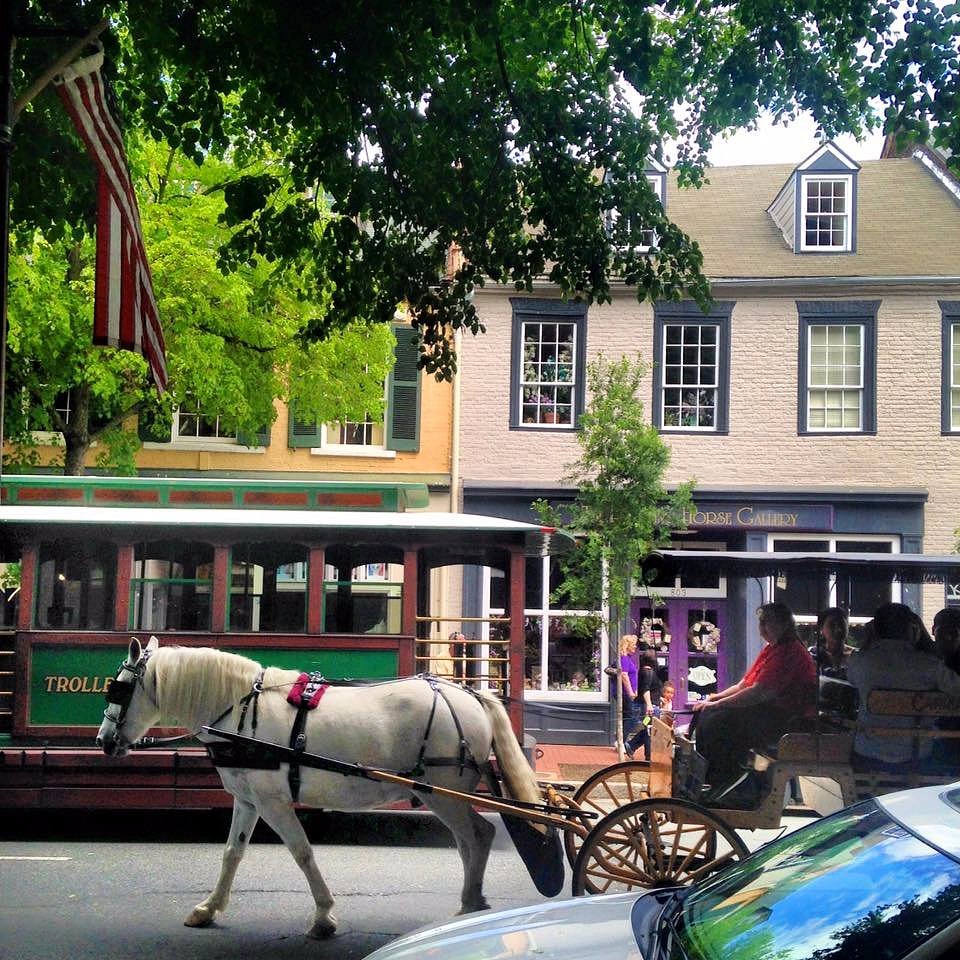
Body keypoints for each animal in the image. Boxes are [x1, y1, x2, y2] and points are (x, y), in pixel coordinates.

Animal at [100, 632, 544, 940]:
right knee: (470, 842)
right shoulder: (248, 800)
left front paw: (324, 917)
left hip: (443, 793)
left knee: (478, 836)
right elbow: (231, 854)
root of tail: (467, 693)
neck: (242, 712)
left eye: (118, 688)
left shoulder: (274, 802)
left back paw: (470, 904)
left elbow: (302, 853)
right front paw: (209, 909)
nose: (104, 741)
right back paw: (473, 903)